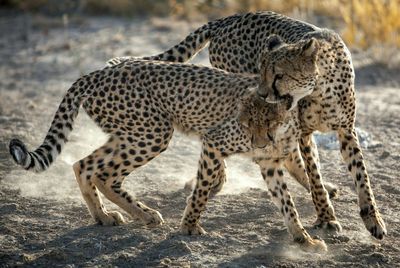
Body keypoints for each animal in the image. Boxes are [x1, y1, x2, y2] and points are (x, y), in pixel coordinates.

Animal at [8, 37, 328, 251]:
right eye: (248, 124)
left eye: (269, 124)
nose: (259, 142)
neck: (287, 119)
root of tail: (98, 72)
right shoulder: (213, 143)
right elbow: (201, 189)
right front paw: (189, 226)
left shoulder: (270, 163)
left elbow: (287, 204)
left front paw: (304, 239)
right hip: (152, 133)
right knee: (103, 174)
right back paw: (140, 213)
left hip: (131, 133)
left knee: (84, 165)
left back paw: (107, 216)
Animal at [109, 11, 388, 240]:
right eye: (262, 72)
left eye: (279, 75)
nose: (262, 93)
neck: (322, 89)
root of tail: (227, 19)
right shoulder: (304, 134)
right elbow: (314, 175)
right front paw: (326, 217)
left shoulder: (346, 131)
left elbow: (362, 177)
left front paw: (373, 221)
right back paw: (216, 180)